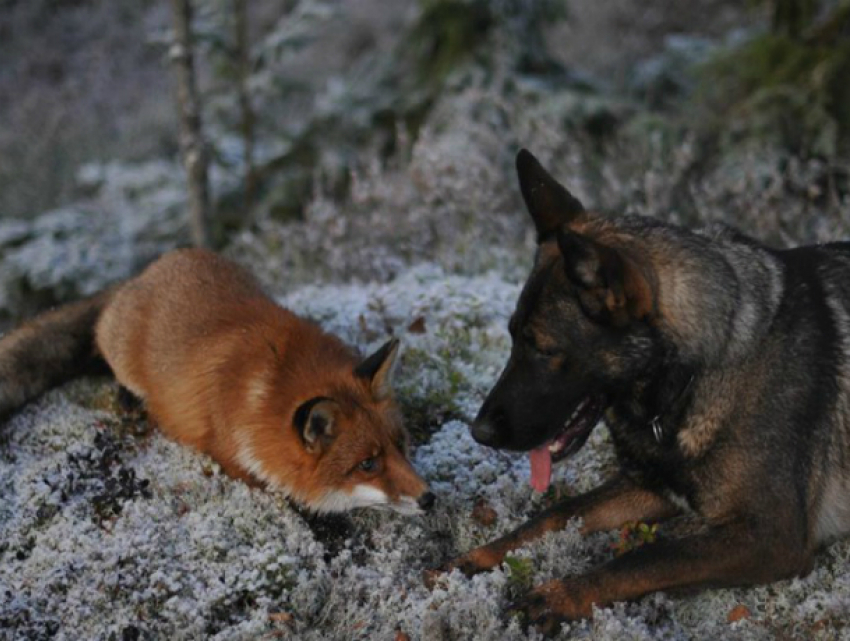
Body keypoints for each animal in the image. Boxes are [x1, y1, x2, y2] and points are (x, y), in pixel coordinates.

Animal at [0, 248, 434, 512]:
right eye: (367, 464)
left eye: (400, 444)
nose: (429, 498)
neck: (269, 386)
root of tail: (144, 274)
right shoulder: (233, 458)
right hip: (121, 353)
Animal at [430, 149, 848, 632]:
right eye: (512, 336)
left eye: (545, 349)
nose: (479, 432)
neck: (696, 375)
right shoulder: (650, 487)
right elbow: (554, 515)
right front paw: (473, 560)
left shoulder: (771, 536)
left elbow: (647, 557)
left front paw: (556, 597)